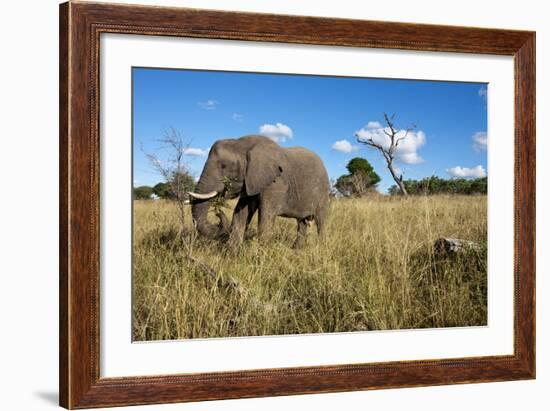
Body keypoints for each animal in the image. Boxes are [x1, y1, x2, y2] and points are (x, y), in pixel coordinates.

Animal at [188, 137, 330, 249]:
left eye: (224, 166)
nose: (218, 213)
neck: (243, 143)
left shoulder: (276, 182)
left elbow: (265, 216)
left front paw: (260, 255)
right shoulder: (250, 181)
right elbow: (241, 213)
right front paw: (231, 254)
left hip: (323, 192)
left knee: (320, 221)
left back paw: (320, 249)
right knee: (302, 222)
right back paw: (296, 250)